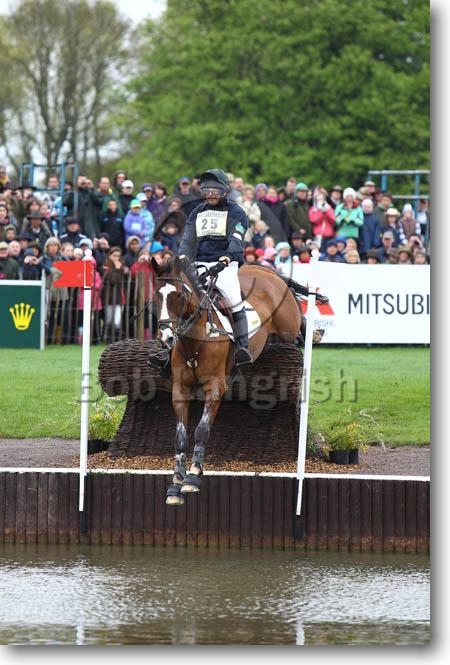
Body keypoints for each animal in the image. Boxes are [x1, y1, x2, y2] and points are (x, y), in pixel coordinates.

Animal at [151, 255, 320, 505]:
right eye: (156, 295)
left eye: (179, 295)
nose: (166, 338)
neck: (195, 340)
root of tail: (264, 270)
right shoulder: (180, 391)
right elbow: (180, 436)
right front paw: (175, 484)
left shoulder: (214, 388)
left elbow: (202, 430)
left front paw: (192, 477)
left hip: (287, 323)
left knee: (298, 319)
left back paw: (314, 331)